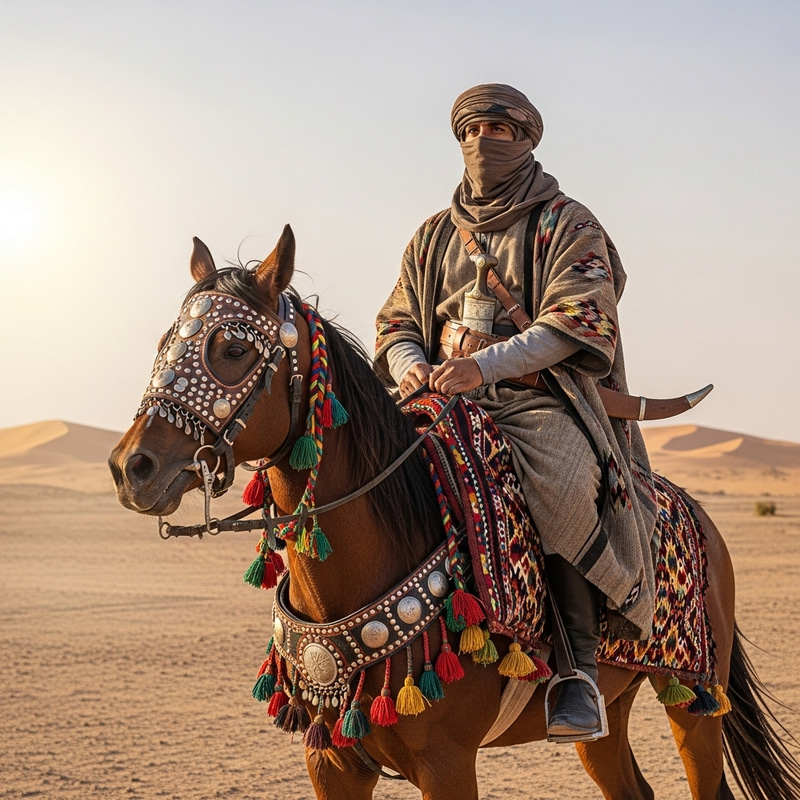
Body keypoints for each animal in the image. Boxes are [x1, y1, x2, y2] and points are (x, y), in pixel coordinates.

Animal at [109, 225, 800, 800]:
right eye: (167, 343)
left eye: (231, 349)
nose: (131, 467)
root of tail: (696, 512)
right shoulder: (331, 763)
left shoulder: (446, 763)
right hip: (617, 704)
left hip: (696, 697)